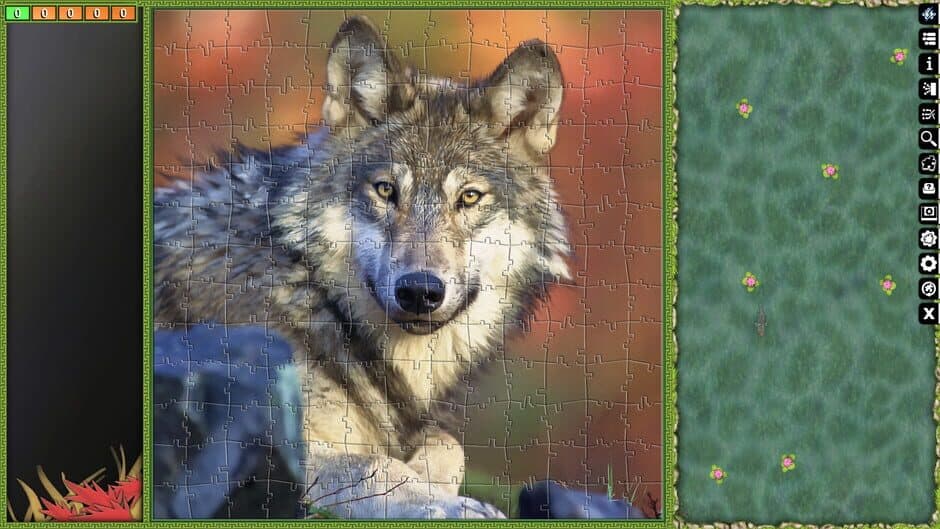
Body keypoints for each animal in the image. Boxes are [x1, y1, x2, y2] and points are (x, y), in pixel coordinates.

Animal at [154, 15, 570, 519]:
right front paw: (452, 505)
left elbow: (447, 445)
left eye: (469, 197)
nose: (419, 291)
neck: (311, 294)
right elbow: (376, 466)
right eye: (386, 190)